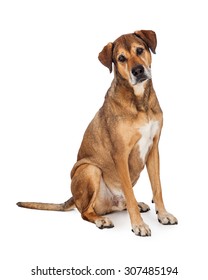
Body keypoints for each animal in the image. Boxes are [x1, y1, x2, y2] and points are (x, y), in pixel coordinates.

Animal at [17, 30, 178, 236]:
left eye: (140, 50)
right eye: (121, 58)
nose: (138, 71)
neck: (139, 100)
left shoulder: (154, 148)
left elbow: (157, 187)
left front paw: (163, 214)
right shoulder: (120, 154)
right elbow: (129, 191)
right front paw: (138, 225)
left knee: (124, 202)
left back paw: (136, 204)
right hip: (89, 170)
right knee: (86, 211)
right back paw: (101, 219)